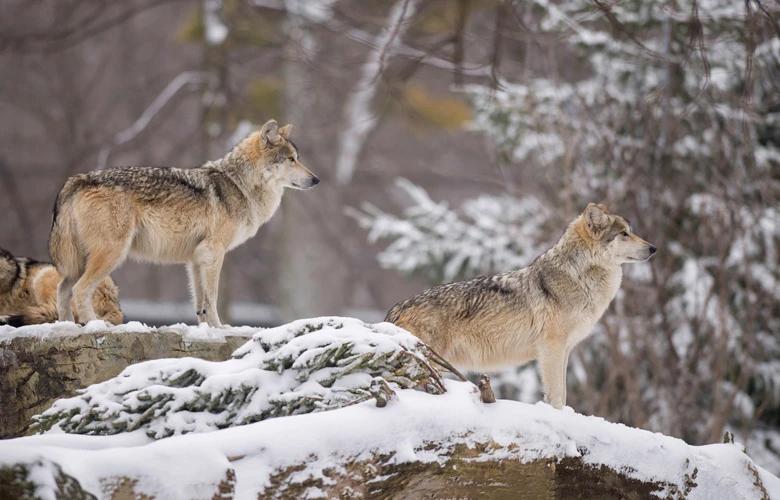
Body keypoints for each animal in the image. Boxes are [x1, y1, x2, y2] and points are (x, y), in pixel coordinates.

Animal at [50, 119, 318, 326]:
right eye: (291, 159)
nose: (316, 180)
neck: (239, 184)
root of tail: (77, 179)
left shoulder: (196, 259)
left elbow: (201, 303)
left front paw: (207, 330)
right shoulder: (214, 252)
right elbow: (212, 297)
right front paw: (220, 329)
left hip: (81, 261)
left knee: (62, 289)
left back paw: (66, 327)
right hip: (112, 254)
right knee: (79, 290)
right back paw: (94, 325)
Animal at [386, 203, 656, 410]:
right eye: (624, 234)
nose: (654, 248)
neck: (578, 276)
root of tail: (395, 310)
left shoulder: (565, 350)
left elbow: (562, 393)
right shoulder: (551, 348)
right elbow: (557, 396)